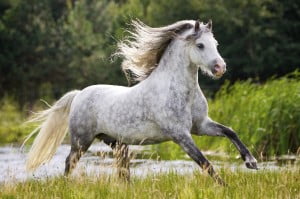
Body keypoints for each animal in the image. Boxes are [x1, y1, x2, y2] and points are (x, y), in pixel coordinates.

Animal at [24, 19, 258, 184]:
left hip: (115, 141)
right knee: (70, 161)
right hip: (82, 140)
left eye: (215, 43)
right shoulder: (180, 134)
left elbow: (230, 132)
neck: (180, 91)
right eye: (200, 45)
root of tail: (79, 94)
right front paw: (225, 187)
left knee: (123, 168)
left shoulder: (201, 126)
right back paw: (67, 185)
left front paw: (251, 162)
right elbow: (206, 163)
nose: (220, 68)